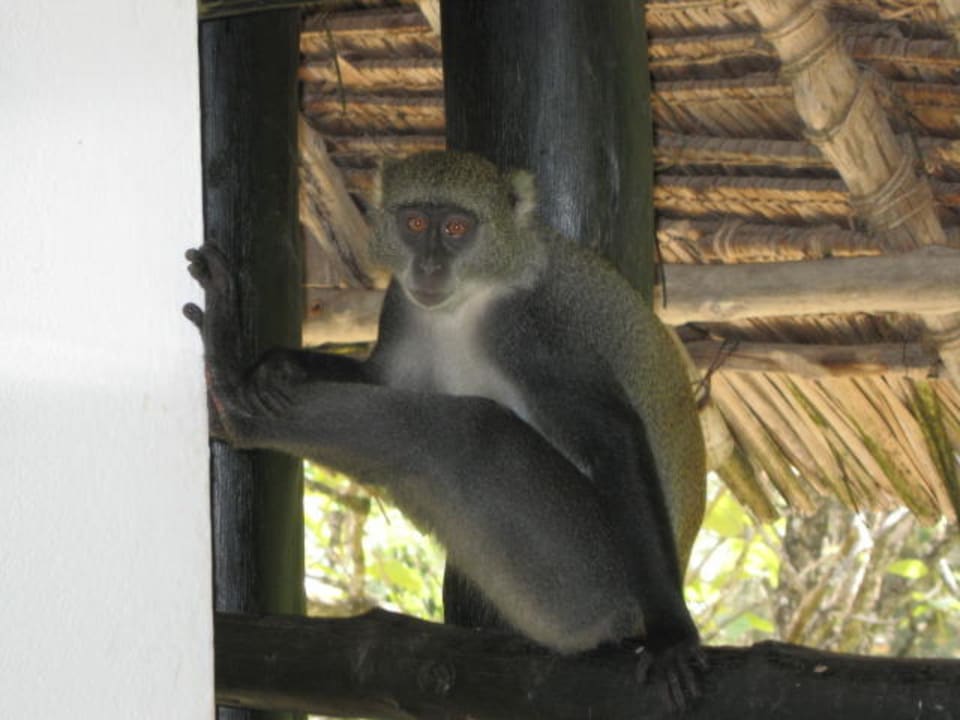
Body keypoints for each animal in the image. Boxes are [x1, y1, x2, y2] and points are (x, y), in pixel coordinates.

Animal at [184, 150, 707, 708]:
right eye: (415, 224)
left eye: (457, 228)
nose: (430, 266)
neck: (470, 297)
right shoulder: (400, 301)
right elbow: (379, 379)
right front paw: (278, 366)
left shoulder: (531, 331)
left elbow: (613, 435)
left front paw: (673, 634)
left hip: (590, 579)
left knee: (466, 431)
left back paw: (231, 397)